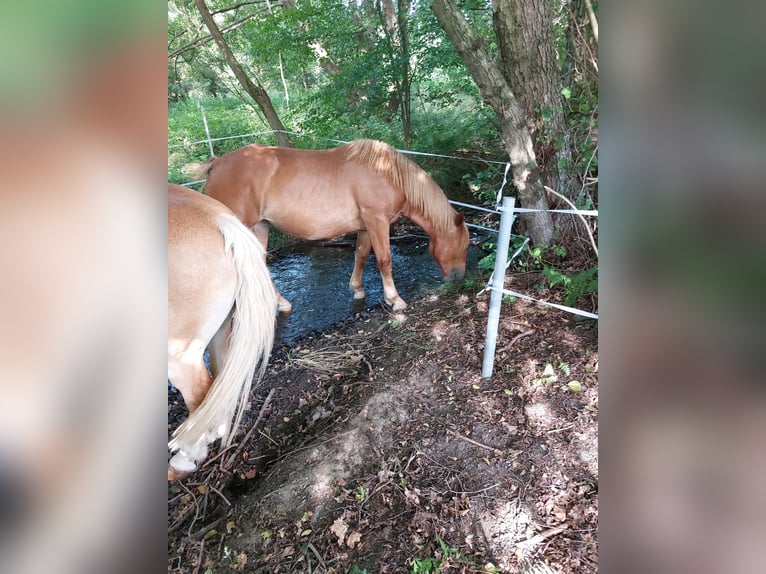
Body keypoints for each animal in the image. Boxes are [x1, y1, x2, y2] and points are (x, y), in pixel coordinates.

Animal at [189, 139, 472, 312]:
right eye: (463, 245)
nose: (459, 277)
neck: (388, 173)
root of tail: (216, 164)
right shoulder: (377, 221)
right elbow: (384, 260)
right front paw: (395, 299)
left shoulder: (365, 227)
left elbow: (361, 255)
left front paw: (357, 289)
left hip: (260, 226)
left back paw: (281, 303)